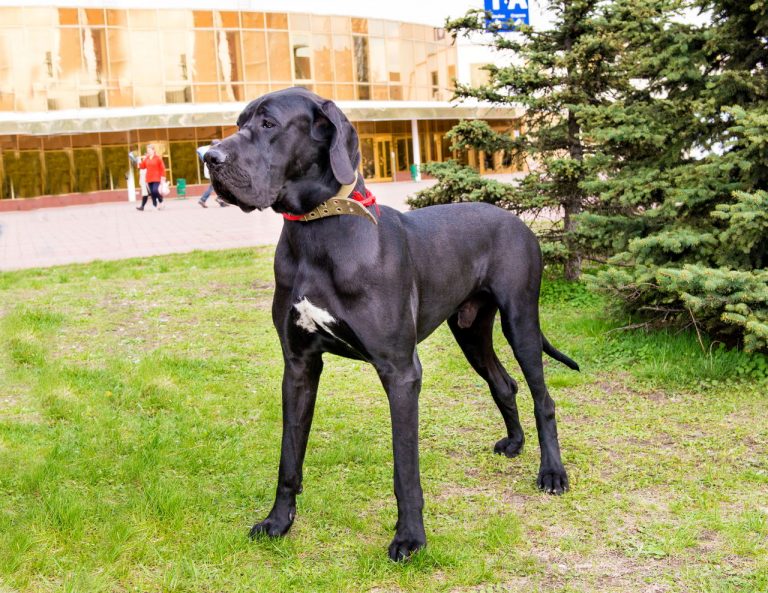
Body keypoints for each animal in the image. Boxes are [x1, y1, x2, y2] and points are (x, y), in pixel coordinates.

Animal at [207, 88, 580, 560]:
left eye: (269, 123)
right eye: (239, 122)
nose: (208, 156)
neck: (317, 231)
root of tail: (517, 221)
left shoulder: (400, 371)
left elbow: (406, 469)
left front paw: (410, 538)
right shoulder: (298, 366)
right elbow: (289, 457)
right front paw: (278, 522)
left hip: (521, 321)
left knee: (541, 397)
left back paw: (552, 473)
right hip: (470, 329)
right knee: (504, 383)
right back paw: (514, 443)